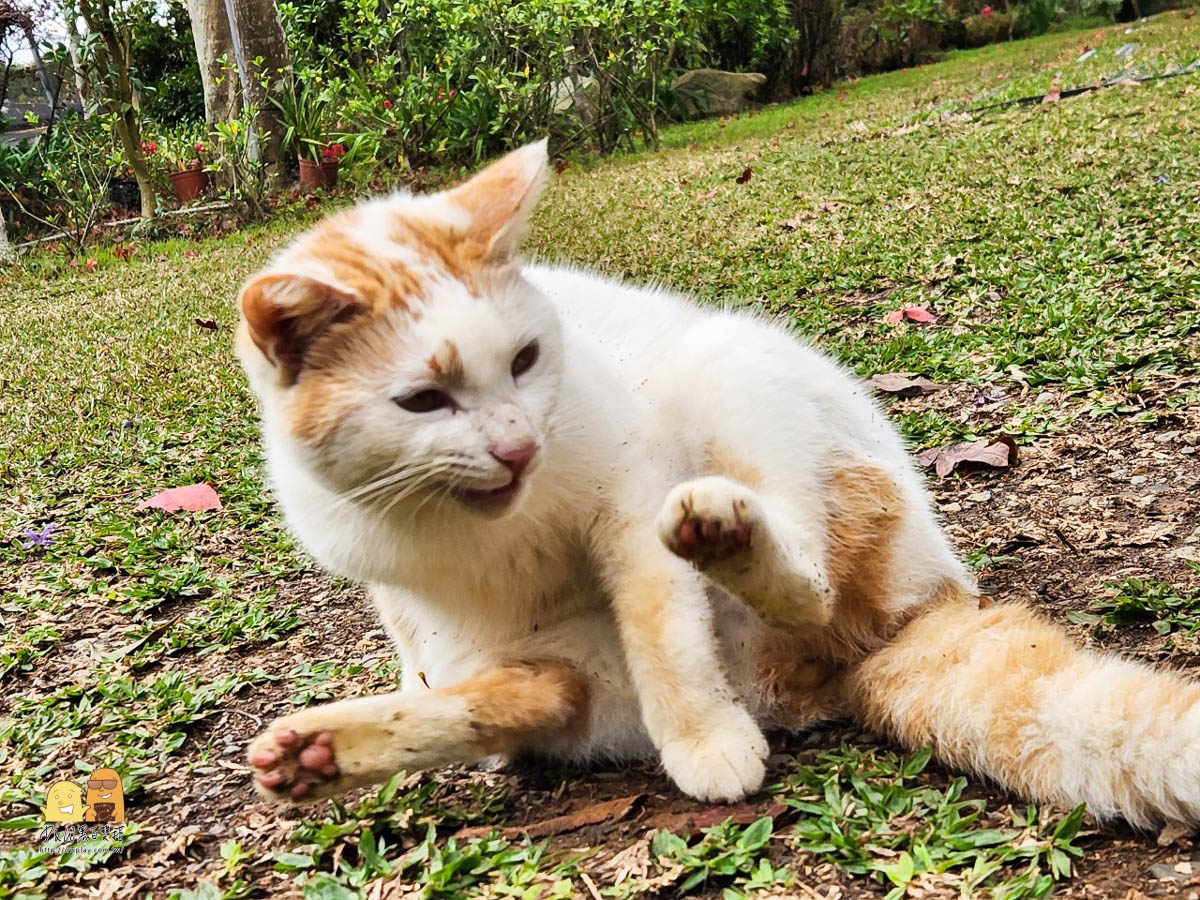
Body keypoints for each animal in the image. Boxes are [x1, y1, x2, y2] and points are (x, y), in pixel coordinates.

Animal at [238, 141, 1200, 840]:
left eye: (525, 360)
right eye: (423, 401)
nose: (517, 448)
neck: (473, 525)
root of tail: (911, 616)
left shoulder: (629, 505)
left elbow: (665, 635)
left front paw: (703, 738)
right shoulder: (382, 575)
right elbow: (421, 647)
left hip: (735, 379)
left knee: (809, 589)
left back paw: (725, 540)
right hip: (572, 674)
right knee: (526, 698)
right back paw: (322, 751)